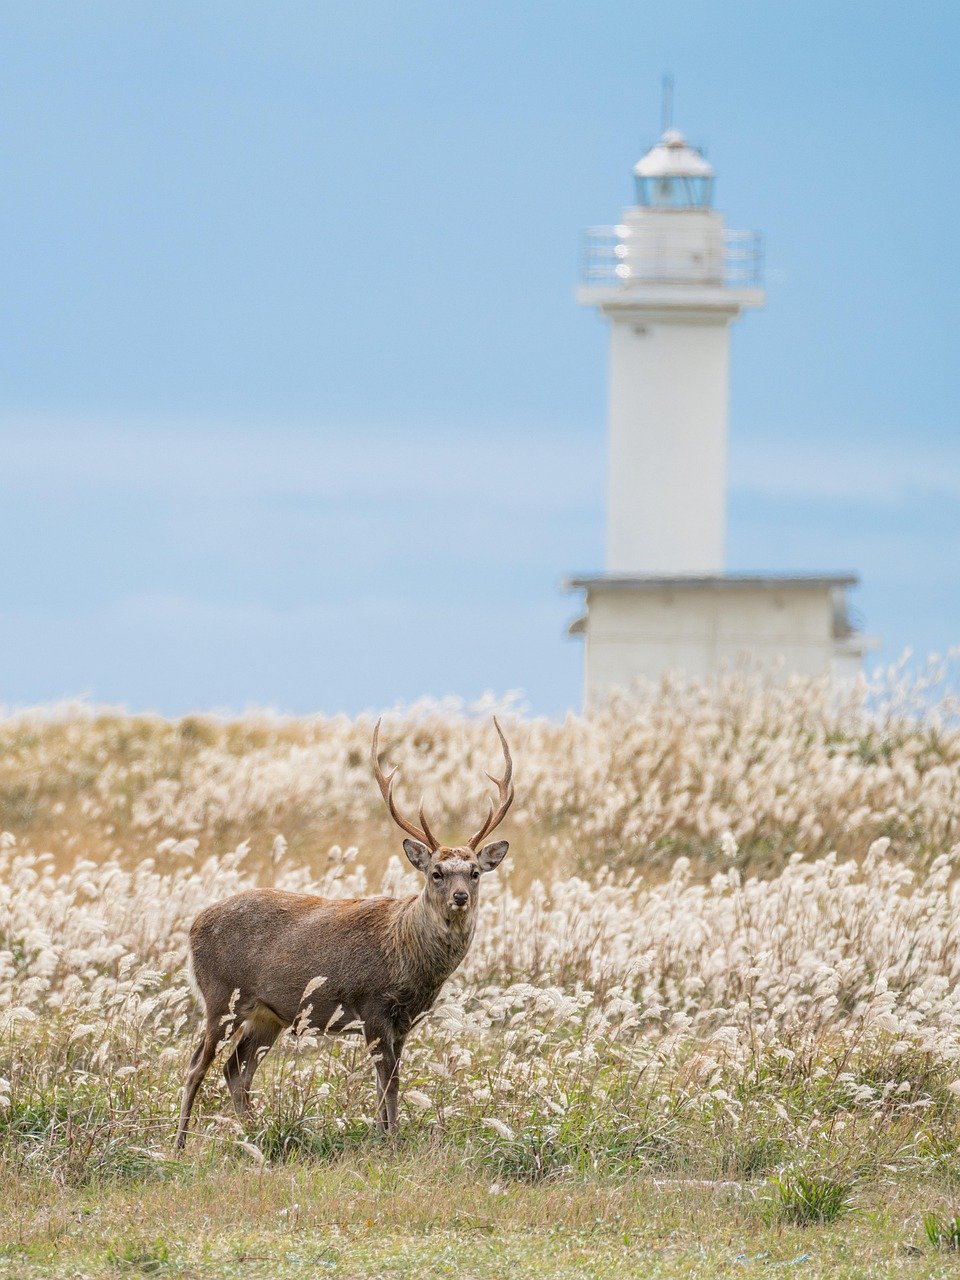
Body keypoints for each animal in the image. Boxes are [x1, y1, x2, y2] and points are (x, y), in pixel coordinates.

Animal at [175, 717, 513, 1149]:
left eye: (474, 872)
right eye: (436, 872)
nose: (460, 897)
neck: (406, 954)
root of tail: (193, 925)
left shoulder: (404, 1020)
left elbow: (390, 1082)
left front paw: (385, 1135)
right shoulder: (371, 1003)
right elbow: (388, 1083)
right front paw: (390, 1141)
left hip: (267, 1014)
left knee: (235, 1069)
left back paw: (255, 1134)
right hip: (220, 996)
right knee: (196, 1064)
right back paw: (181, 1143)